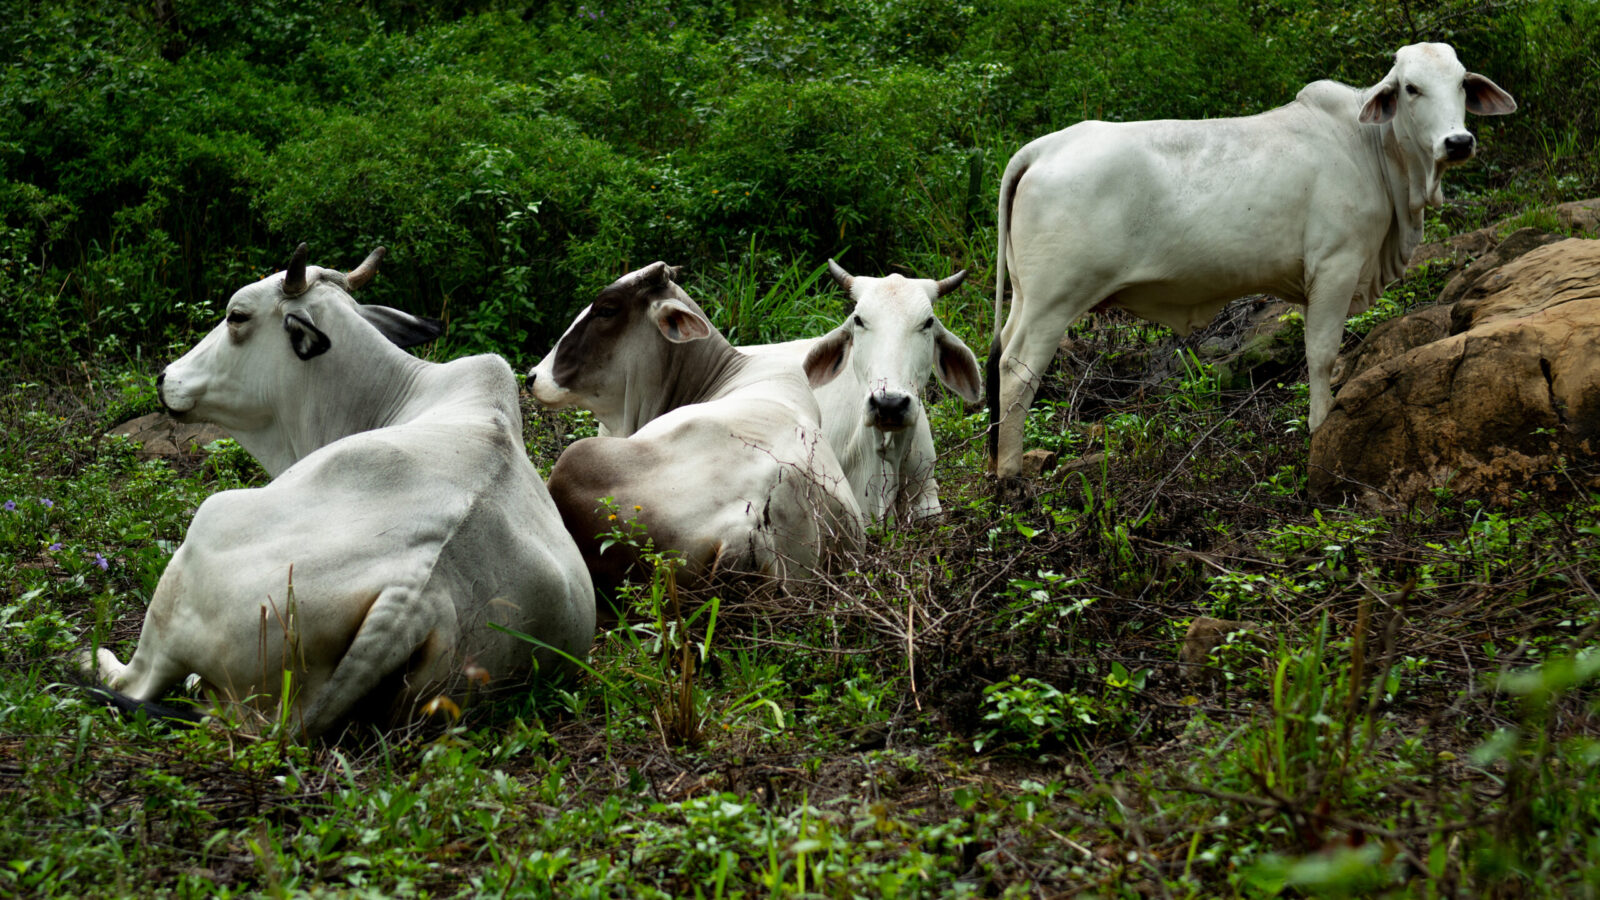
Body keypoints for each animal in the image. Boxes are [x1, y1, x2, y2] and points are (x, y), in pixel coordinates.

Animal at [81, 243, 598, 736]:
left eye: (237, 316)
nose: (165, 377)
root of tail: (412, 596)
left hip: (204, 533)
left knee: (138, 681)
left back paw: (96, 659)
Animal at [985, 43, 1510, 477]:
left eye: (1462, 83)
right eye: (1410, 88)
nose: (1457, 142)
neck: (1372, 152)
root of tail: (1044, 146)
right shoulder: (1335, 267)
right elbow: (1322, 354)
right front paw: (1320, 426)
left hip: (1026, 298)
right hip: (1054, 301)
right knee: (1016, 370)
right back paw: (1010, 475)